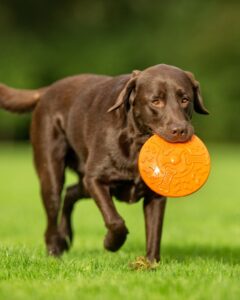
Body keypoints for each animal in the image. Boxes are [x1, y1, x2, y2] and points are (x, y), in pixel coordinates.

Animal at [0, 64, 208, 262]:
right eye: (156, 101)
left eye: (185, 99)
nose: (180, 130)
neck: (136, 143)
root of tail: (48, 89)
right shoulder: (96, 179)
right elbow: (115, 221)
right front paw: (110, 243)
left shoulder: (155, 195)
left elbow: (155, 232)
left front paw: (150, 264)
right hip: (52, 173)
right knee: (53, 210)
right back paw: (55, 250)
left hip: (82, 181)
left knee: (70, 193)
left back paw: (66, 237)